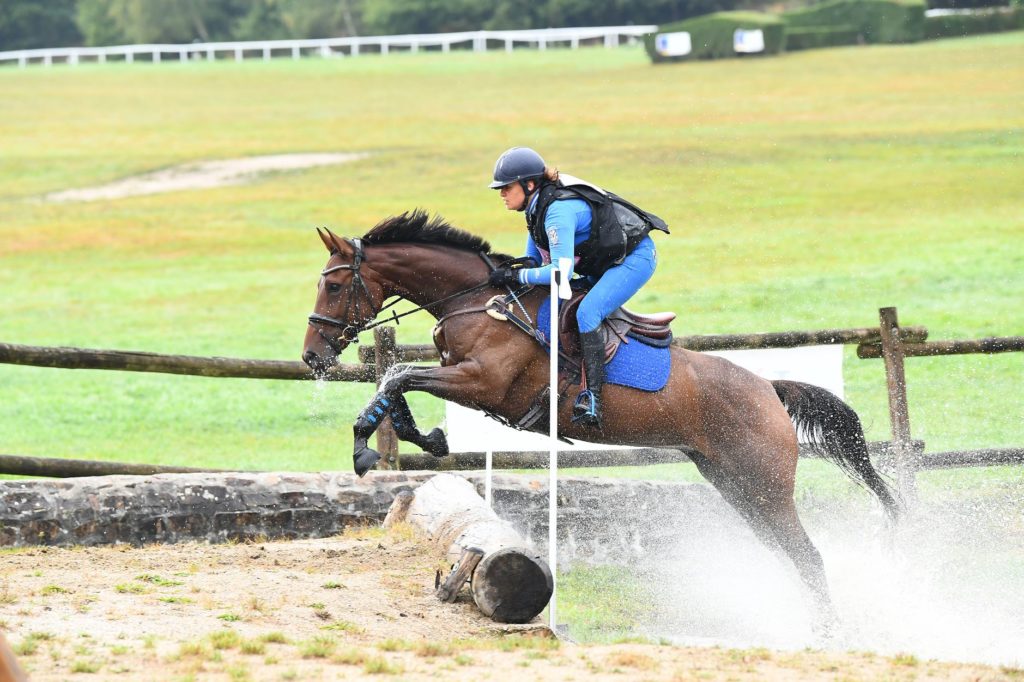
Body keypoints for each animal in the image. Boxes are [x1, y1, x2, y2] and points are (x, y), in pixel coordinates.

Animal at [299, 208, 901, 630]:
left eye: (333, 285)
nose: (312, 356)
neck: (478, 301)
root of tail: (769, 391)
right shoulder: (461, 377)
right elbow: (396, 376)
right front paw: (420, 436)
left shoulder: (483, 383)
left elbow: (398, 375)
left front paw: (367, 445)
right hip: (737, 486)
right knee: (786, 554)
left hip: (765, 485)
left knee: (808, 556)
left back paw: (826, 629)